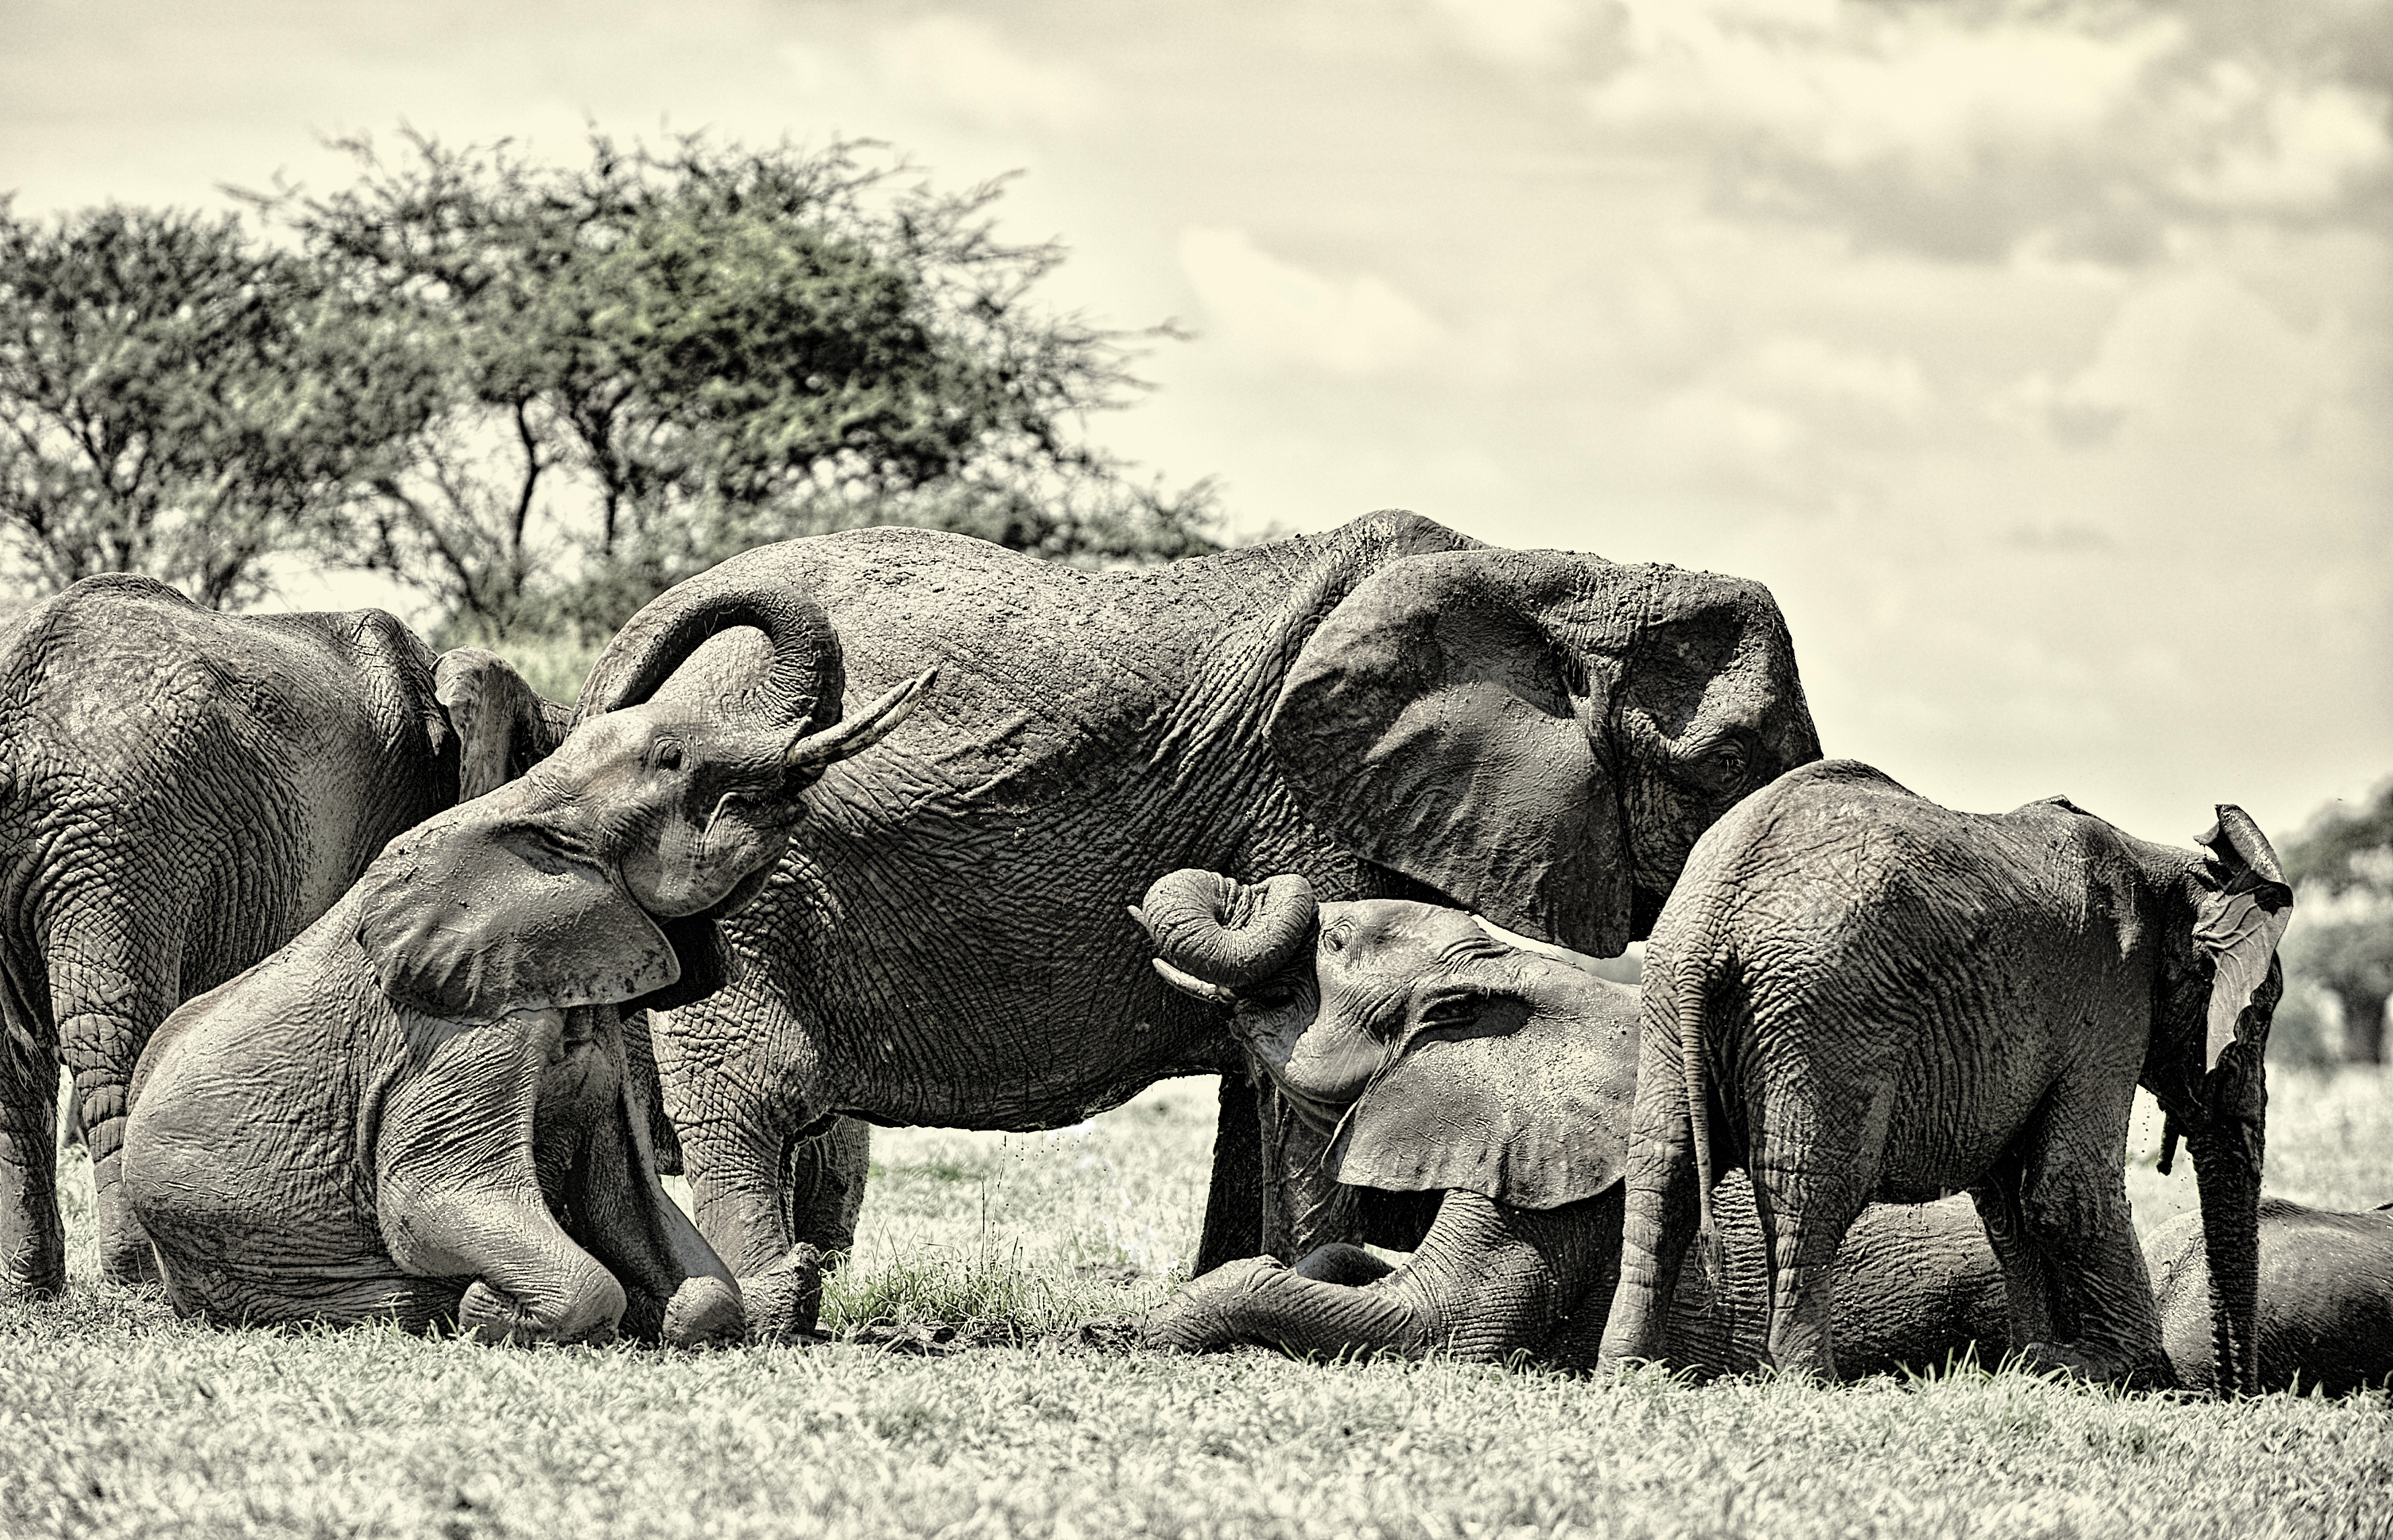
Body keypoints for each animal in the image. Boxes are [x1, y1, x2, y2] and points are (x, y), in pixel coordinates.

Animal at [121, 593, 937, 1344]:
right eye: (672, 760)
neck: (540, 806)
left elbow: (648, 1224)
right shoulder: (461, 1027)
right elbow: (431, 1196)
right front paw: (482, 1306)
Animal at [568, 513, 1822, 1286]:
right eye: (1724, 764)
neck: (1542, 572)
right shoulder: (1309, 803)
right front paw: (1320, 1281)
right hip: (742, 864)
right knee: (752, 1088)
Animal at [1128, 868, 2008, 1376]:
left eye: (1336, 942)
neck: (1514, 976)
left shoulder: (1549, 1190)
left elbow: (1435, 1329)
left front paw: (1149, 1334)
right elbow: (1340, 1259)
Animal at [1599, 759, 2293, 1393]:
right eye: (2259, 1013)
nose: (2235, 1393)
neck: (2166, 866)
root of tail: (1712, 921)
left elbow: (2010, 1203)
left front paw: (2038, 1362)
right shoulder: (2112, 994)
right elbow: (2067, 1187)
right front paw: (2122, 1369)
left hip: (1671, 998)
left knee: (1664, 1173)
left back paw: (1626, 1374)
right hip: (1823, 1013)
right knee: (1811, 1186)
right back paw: (1813, 1381)